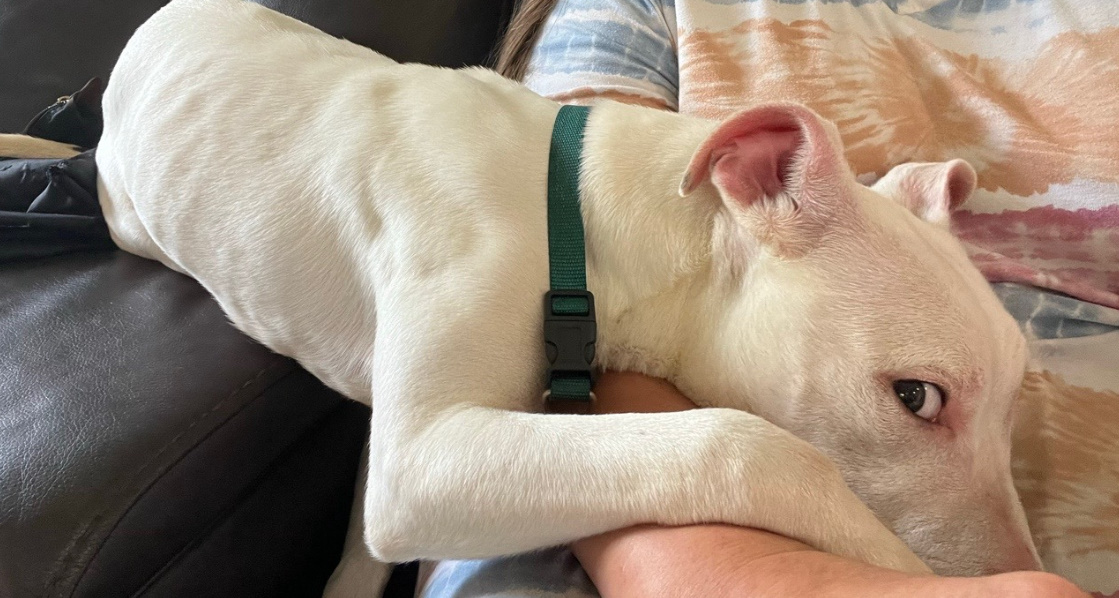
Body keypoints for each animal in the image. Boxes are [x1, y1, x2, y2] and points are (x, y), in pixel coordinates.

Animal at [93, 0, 1038, 591]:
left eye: (1013, 409)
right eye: (915, 397)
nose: (1020, 563)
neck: (574, 212)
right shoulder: (426, 461)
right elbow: (742, 446)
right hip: (131, 214)